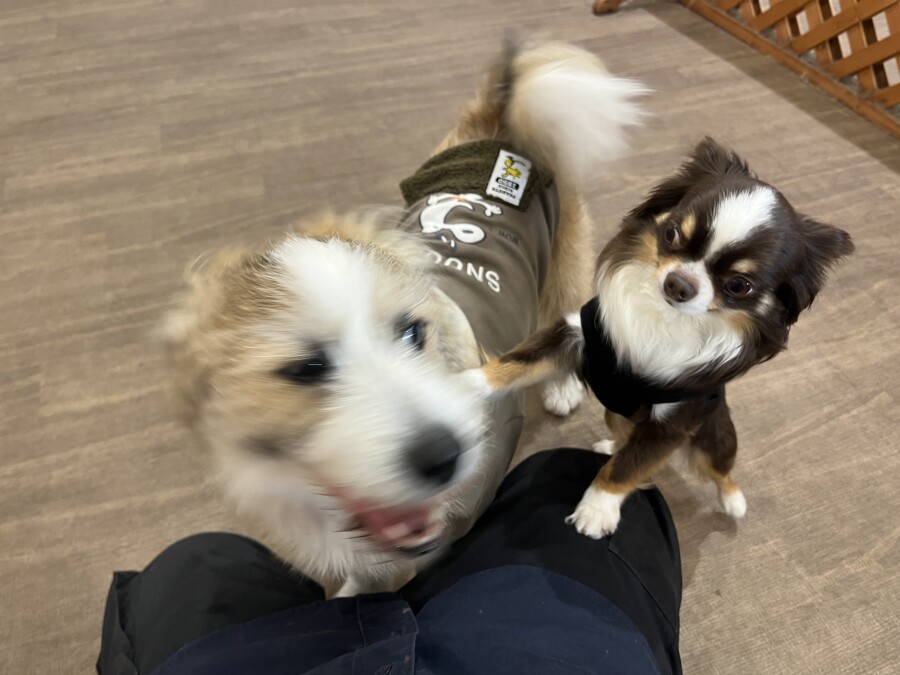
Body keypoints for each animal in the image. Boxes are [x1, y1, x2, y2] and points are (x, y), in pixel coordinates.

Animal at [161, 42, 645, 595]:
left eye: (412, 332)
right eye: (306, 368)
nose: (445, 454)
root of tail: (501, 117)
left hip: (566, 256)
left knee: (566, 312)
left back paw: (562, 387)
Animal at [472, 137, 854, 539]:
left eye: (739, 285)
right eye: (671, 233)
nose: (678, 284)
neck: (665, 319)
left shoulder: (671, 424)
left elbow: (625, 470)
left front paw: (597, 509)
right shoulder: (577, 335)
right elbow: (516, 363)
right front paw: (462, 388)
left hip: (713, 438)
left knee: (719, 469)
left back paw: (733, 500)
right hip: (614, 413)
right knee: (624, 436)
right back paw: (611, 444)